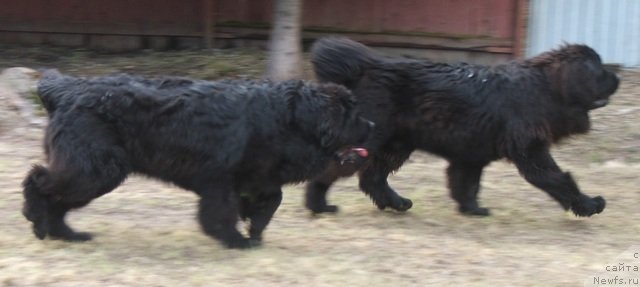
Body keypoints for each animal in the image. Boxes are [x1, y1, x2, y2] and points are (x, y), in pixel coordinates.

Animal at [22, 71, 376, 249]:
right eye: (351, 114)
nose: (373, 125)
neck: (288, 117)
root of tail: (65, 89)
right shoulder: (220, 179)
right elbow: (221, 212)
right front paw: (235, 240)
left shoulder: (256, 175)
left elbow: (271, 199)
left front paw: (255, 229)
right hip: (94, 168)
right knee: (39, 181)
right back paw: (38, 221)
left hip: (93, 169)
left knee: (57, 199)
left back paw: (66, 234)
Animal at [306, 37, 620, 218]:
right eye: (600, 70)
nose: (617, 77)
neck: (545, 88)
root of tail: (368, 66)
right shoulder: (531, 152)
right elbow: (559, 178)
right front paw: (589, 205)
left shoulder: (471, 154)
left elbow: (466, 184)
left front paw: (472, 209)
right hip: (375, 140)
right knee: (334, 171)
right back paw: (318, 205)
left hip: (397, 144)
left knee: (372, 178)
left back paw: (397, 203)